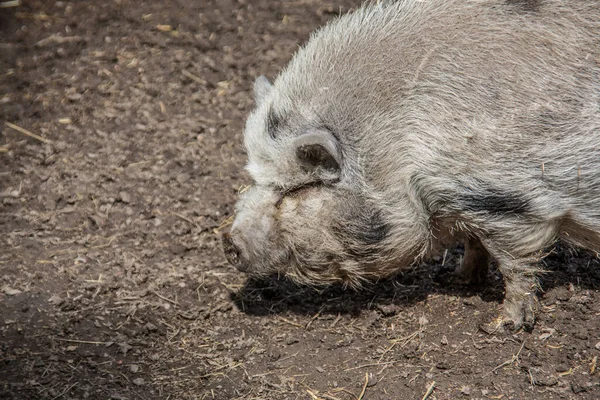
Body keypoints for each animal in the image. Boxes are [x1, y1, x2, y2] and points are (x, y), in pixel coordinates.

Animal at [221, 0, 600, 332]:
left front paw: (499, 325)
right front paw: (455, 280)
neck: (393, 148)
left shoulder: (505, 200)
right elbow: (474, 242)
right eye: (255, 179)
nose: (228, 240)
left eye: (298, 188)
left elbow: (516, 265)